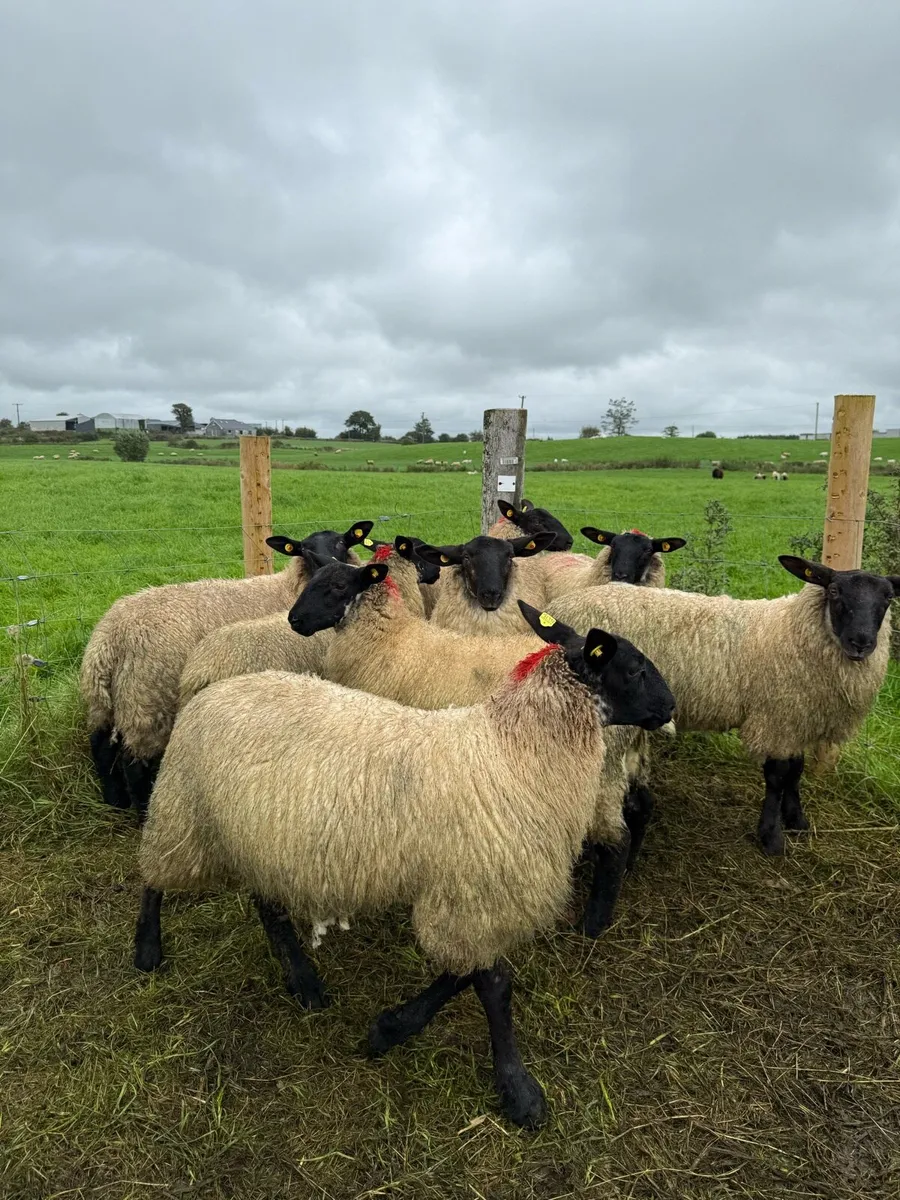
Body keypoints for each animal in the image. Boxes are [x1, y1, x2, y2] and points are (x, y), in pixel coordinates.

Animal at [80, 520, 374, 818]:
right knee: (134, 765)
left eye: (342, 542)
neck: (291, 587)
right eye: (303, 548)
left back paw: (114, 802)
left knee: (101, 746)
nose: (329, 561)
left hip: (104, 700)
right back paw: (141, 813)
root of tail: (110, 637)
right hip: (146, 701)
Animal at [134, 607, 675, 1128]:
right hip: (183, 809)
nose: (670, 708)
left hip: (261, 838)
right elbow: (492, 986)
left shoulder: (469, 893)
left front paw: (391, 1028)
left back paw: (302, 981)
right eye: (635, 668)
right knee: (153, 878)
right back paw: (147, 948)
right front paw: (517, 1090)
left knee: (267, 906)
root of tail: (211, 690)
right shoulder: (474, 891)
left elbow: (463, 975)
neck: (513, 751)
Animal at [550, 556, 899, 856]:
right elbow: (777, 776)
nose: (861, 642)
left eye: (888, 598)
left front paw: (796, 819)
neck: (791, 630)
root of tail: (562, 604)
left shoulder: (796, 717)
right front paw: (771, 837)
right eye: (835, 591)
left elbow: (796, 771)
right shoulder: (775, 716)